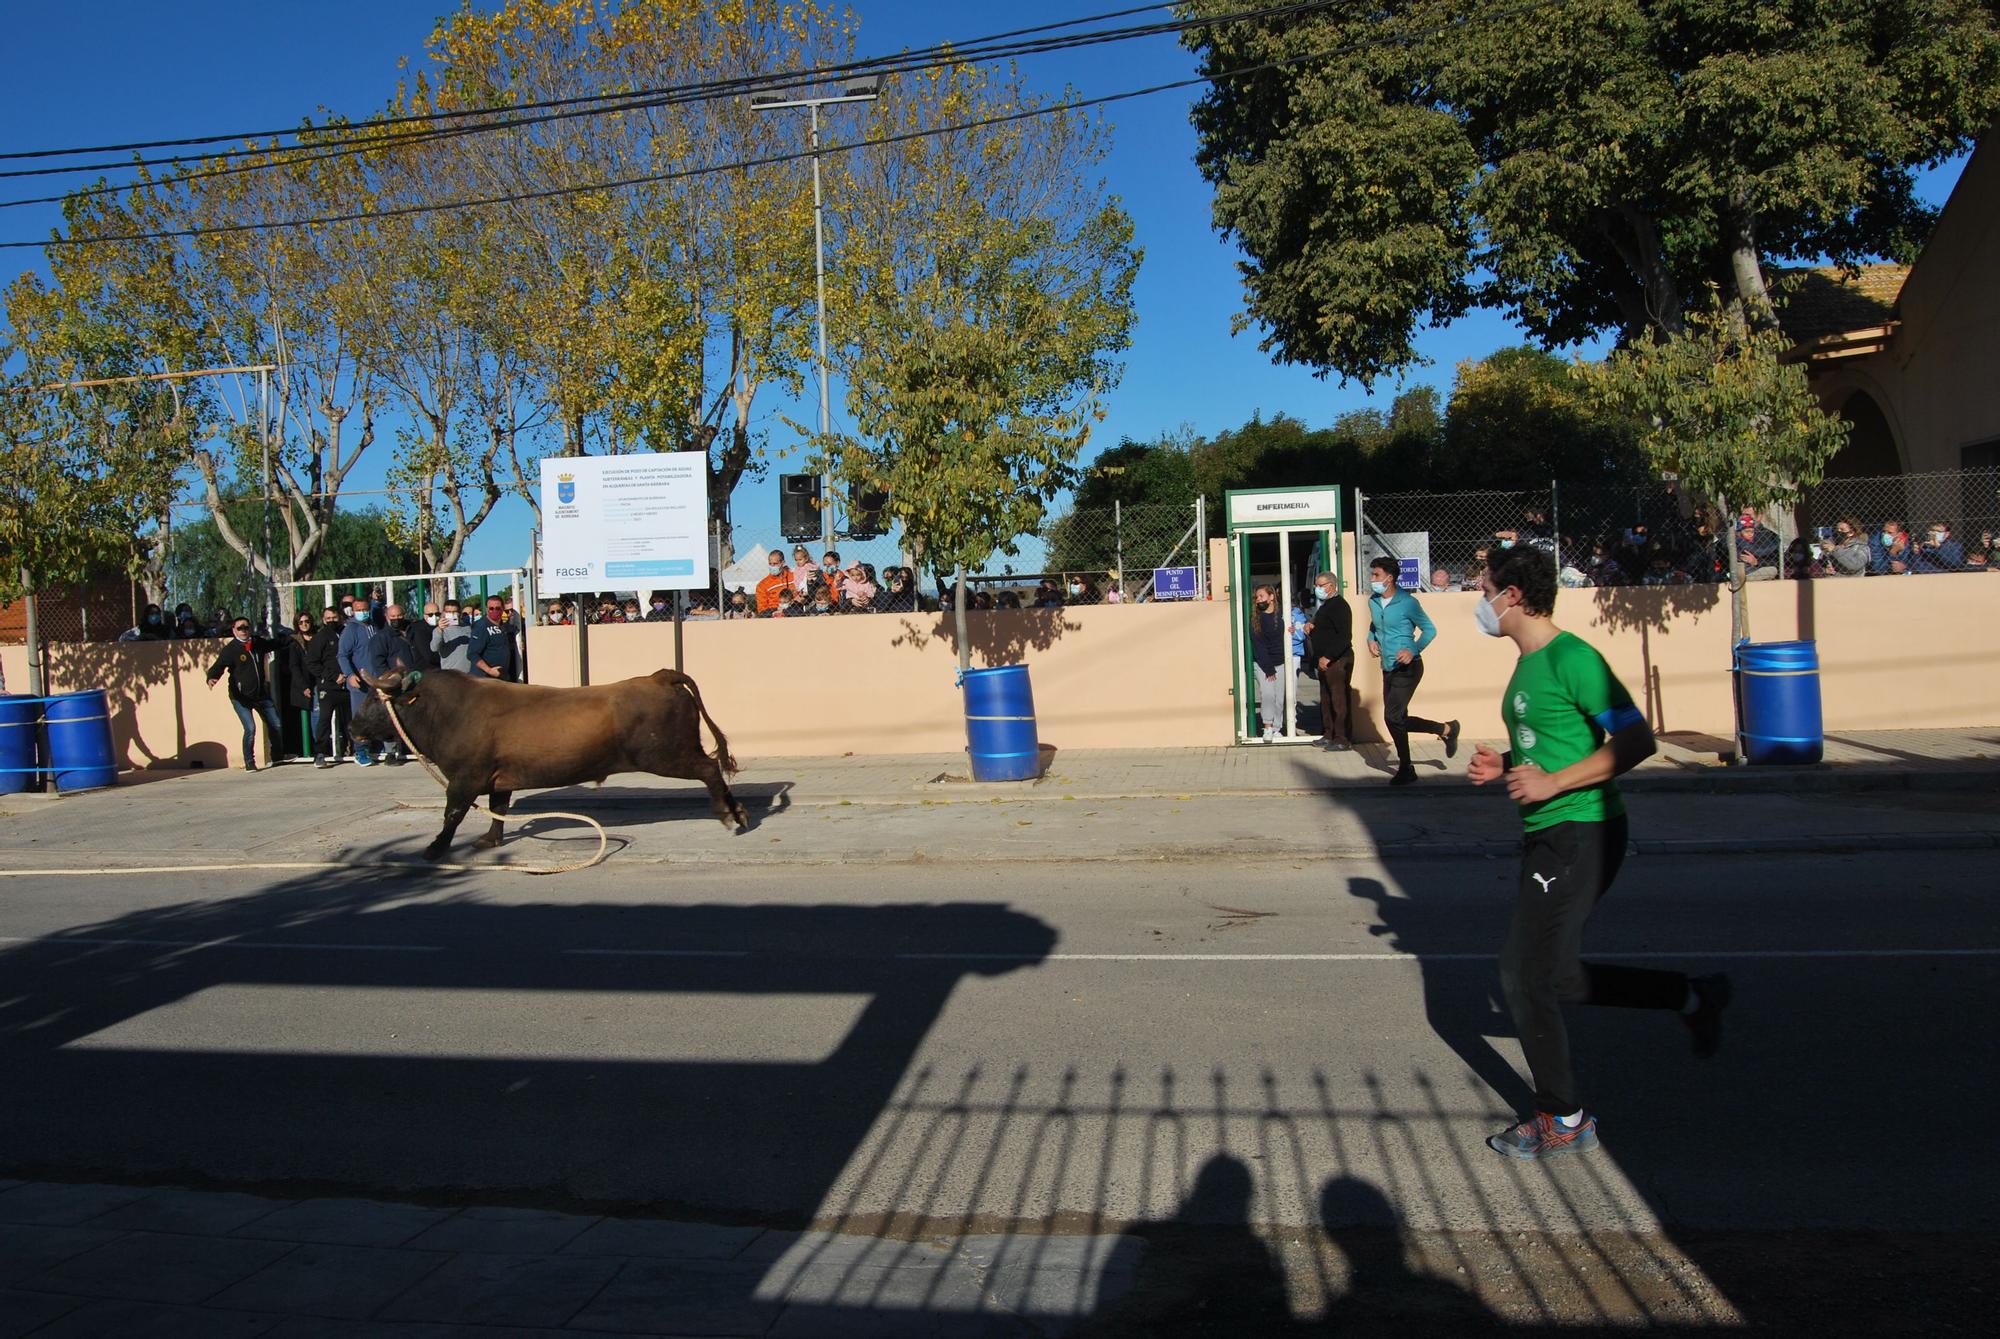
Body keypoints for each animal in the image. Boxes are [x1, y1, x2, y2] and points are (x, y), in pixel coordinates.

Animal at [350, 667, 744, 867]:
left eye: (374, 699)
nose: (353, 730)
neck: (448, 710)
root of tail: (658, 677)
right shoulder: (498, 778)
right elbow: (498, 808)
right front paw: (490, 840)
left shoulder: (464, 778)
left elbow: (453, 814)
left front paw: (434, 849)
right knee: (713, 769)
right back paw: (738, 811)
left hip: (665, 755)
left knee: (709, 770)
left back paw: (728, 815)